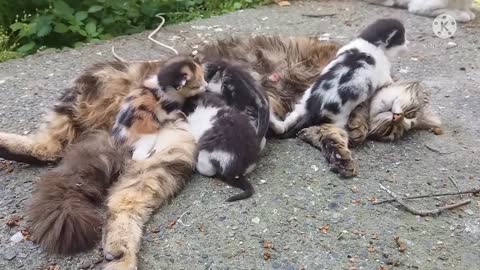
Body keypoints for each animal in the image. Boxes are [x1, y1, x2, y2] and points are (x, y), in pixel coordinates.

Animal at [270, 17, 408, 137]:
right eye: (402, 39)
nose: (408, 43)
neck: (371, 42)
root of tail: (316, 106)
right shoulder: (384, 75)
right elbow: (389, 81)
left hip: (302, 104)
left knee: (289, 120)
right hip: (339, 119)